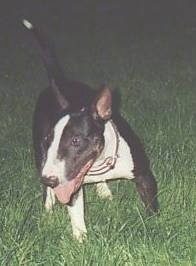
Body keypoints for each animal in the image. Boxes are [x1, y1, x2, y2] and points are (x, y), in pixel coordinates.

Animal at [23, 19, 158, 242]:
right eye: (48, 140)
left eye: (76, 141)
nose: (49, 179)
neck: (100, 161)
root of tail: (60, 83)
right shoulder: (69, 182)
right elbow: (76, 212)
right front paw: (81, 240)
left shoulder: (144, 173)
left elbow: (151, 202)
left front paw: (153, 224)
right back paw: (48, 206)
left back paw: (103, 190)